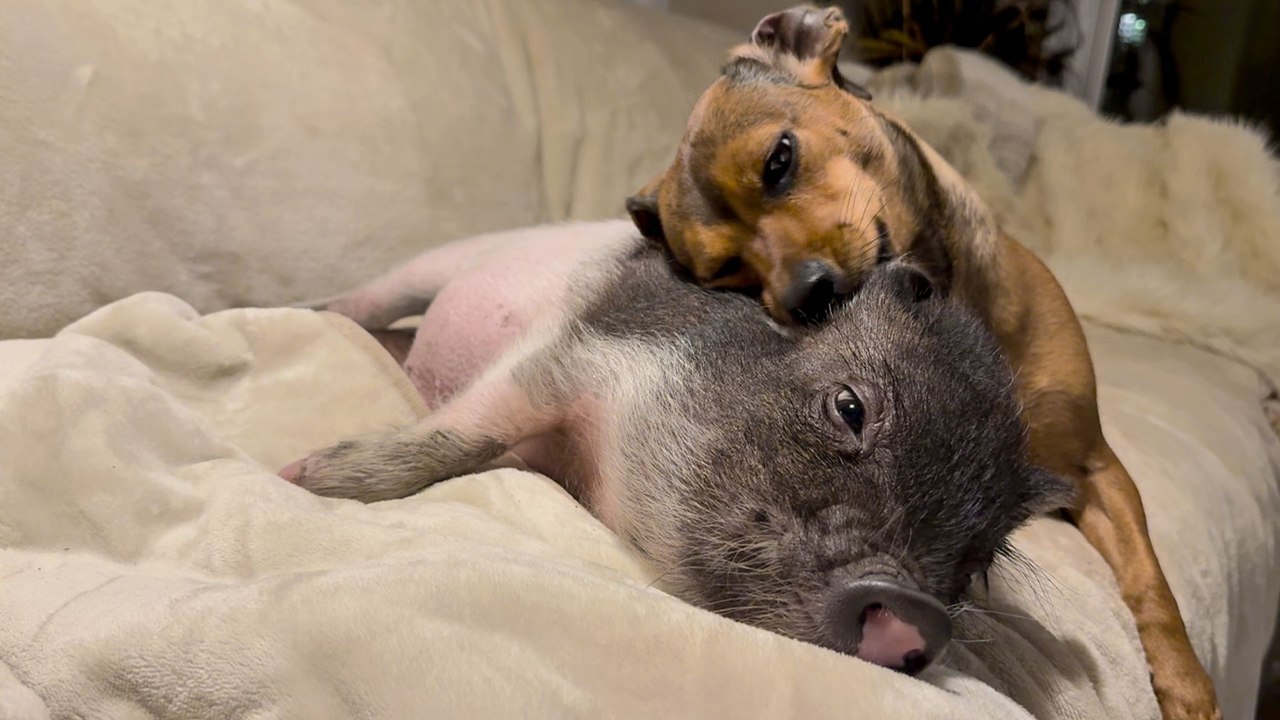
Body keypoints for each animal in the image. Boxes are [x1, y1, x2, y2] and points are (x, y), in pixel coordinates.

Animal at [282, 220, 1071, 675]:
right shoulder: (579, 346)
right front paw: (307, 479)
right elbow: (468, 431)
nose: (917, 612)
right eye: (850, 408)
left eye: (978, 560)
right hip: (443, 261)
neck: (595, 475)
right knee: (365, 300)